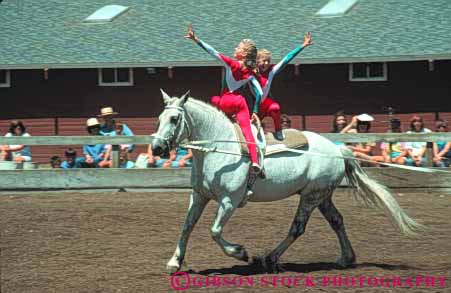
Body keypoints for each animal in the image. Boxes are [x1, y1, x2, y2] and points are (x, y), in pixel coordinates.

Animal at [154, 90, 426, 272]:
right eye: (159, 118)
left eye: (174, 119)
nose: (157, 148)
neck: (220, 148)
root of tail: (338, 150)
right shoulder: (199, 196)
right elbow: (187, 226)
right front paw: (174, 262)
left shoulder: (229, 201)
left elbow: (214, 230)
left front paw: (240, 252)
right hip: (321, 196)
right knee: (337, 221)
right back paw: (346, 259)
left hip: (310, 197)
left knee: (297, 228)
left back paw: (270, 259)